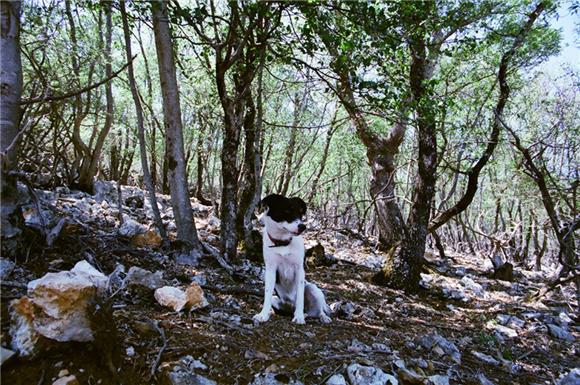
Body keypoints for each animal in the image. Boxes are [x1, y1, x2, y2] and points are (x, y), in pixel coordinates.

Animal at [253, 194, 330, 322]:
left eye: (300, 213)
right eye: (287, 211)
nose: (302, 226)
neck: (282, 243)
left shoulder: (299, 270)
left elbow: (300, 297)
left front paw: (298, 317)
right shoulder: (270, 270)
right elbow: (267, 294)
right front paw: (263, 314)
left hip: (313, 289)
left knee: (318, 311)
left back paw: (320, 316)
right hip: (276, 299)